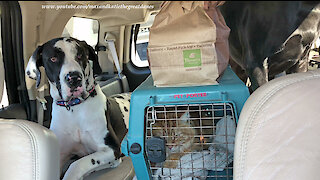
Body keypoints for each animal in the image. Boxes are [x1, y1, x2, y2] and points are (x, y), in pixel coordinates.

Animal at [25, 37, 130, 179]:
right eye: (53, 58)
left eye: (80, 55)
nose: (74, 78)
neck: (74, 108)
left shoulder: (112, 149)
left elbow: (76, 165)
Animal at [122, 66, 250, 180]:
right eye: (163, 137)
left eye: (176, 136)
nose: (170, 146)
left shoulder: (196, 145)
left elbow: (177, 154)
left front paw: (168, 164)